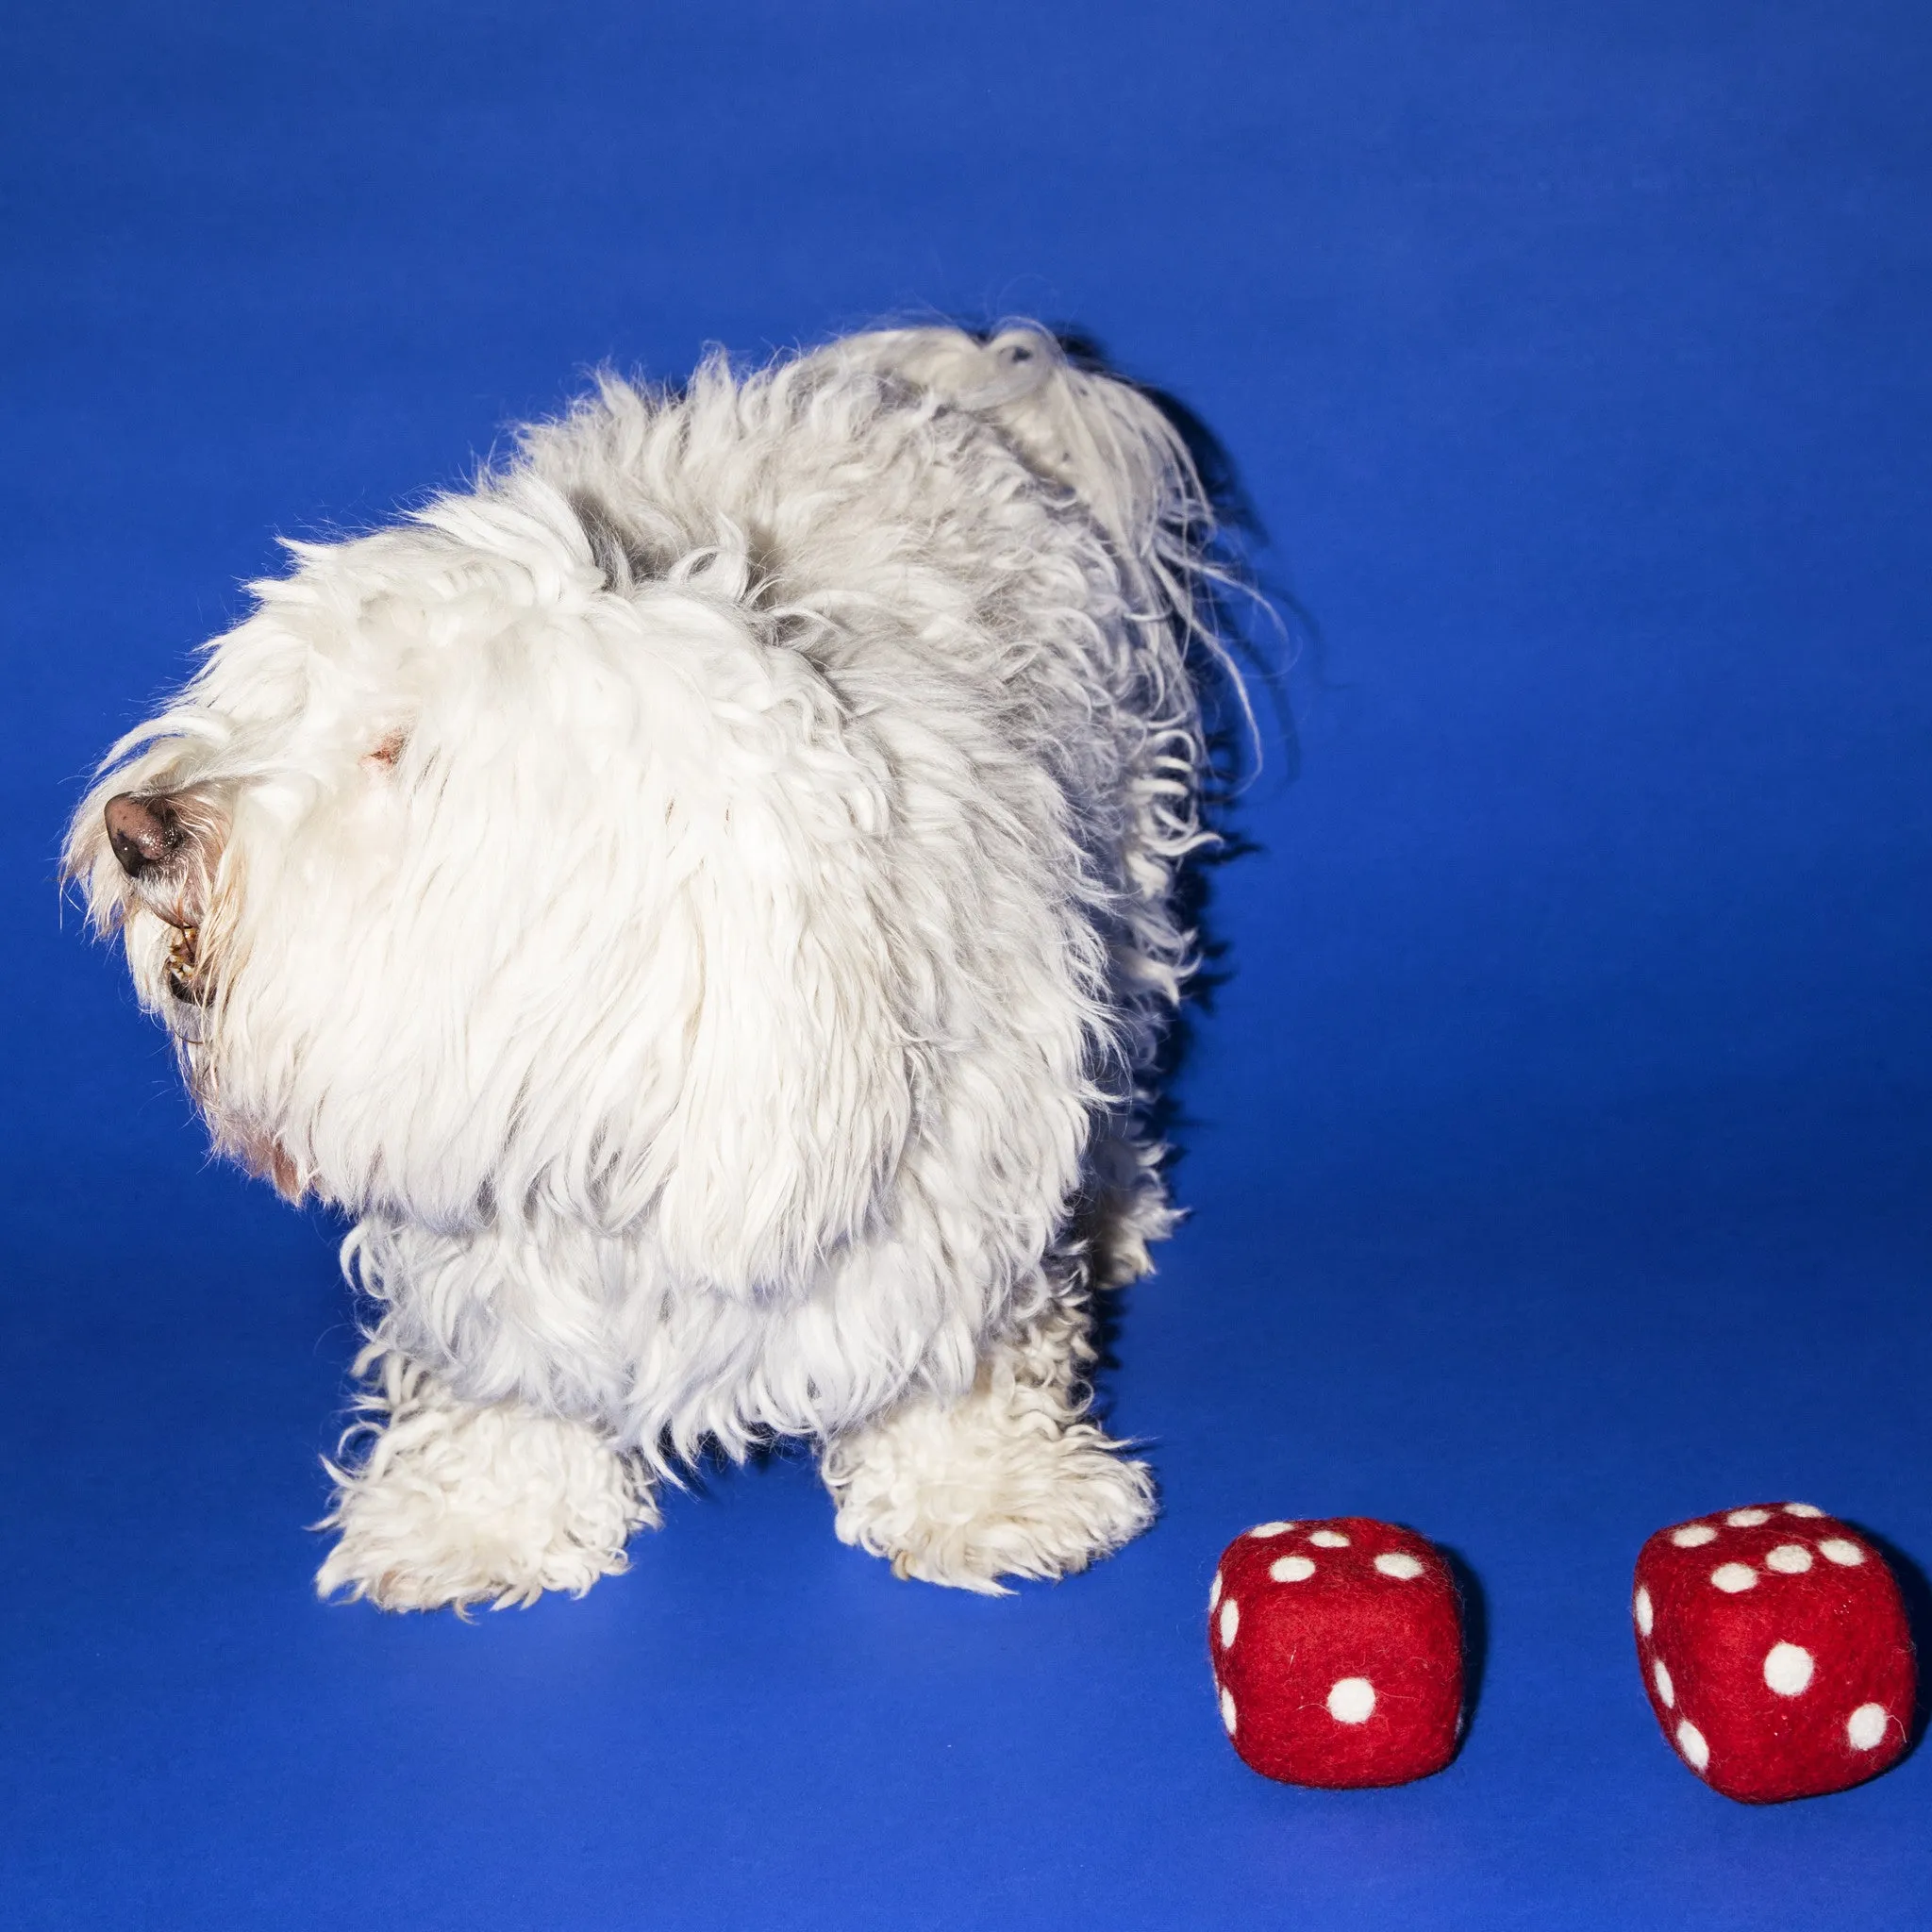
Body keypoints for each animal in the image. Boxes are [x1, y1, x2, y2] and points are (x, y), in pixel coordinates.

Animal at [68, 325, 1236, 1607]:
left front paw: (981, 1491)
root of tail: (970, 376)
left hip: (1123, 887)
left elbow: (962, 1338)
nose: (137, 829)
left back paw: (1115, 1210)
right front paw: (481, 1514)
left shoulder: (955, 1159)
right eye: (279, 704)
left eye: (395, 749)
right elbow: (506, 1375)